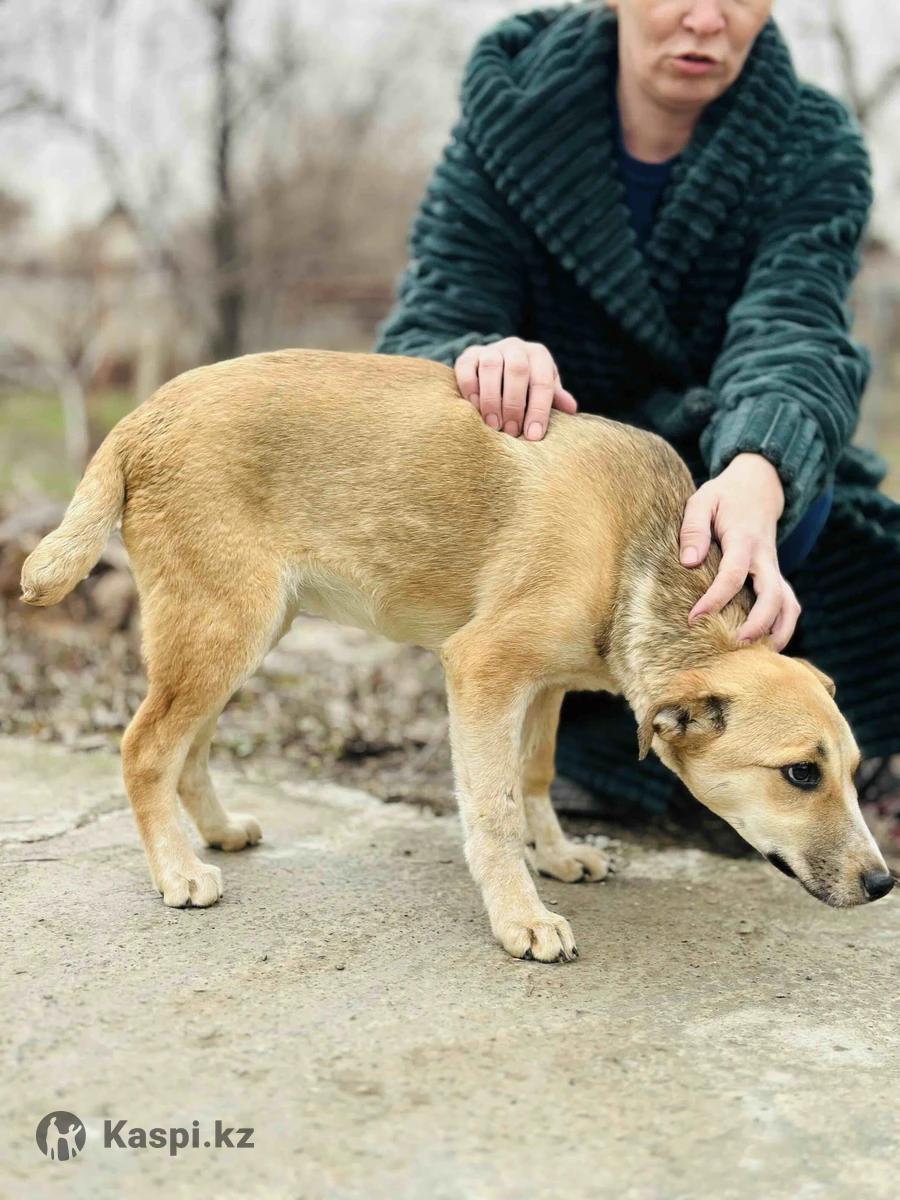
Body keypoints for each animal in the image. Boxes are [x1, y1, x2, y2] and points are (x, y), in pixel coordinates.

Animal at [20, 349, 894, 961]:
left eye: (853, 771)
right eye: (800, 774)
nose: (884, 883)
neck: (634, 555)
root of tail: (141, 416)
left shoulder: (542, 687)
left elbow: (533, 777)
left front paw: (558, 856)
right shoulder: (482, 669)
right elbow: (493, 807)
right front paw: (520, 917)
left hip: (242, 632)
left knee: (189, 746)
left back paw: (218, 830)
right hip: (221, 628)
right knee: (146, 748)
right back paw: (176, 871)